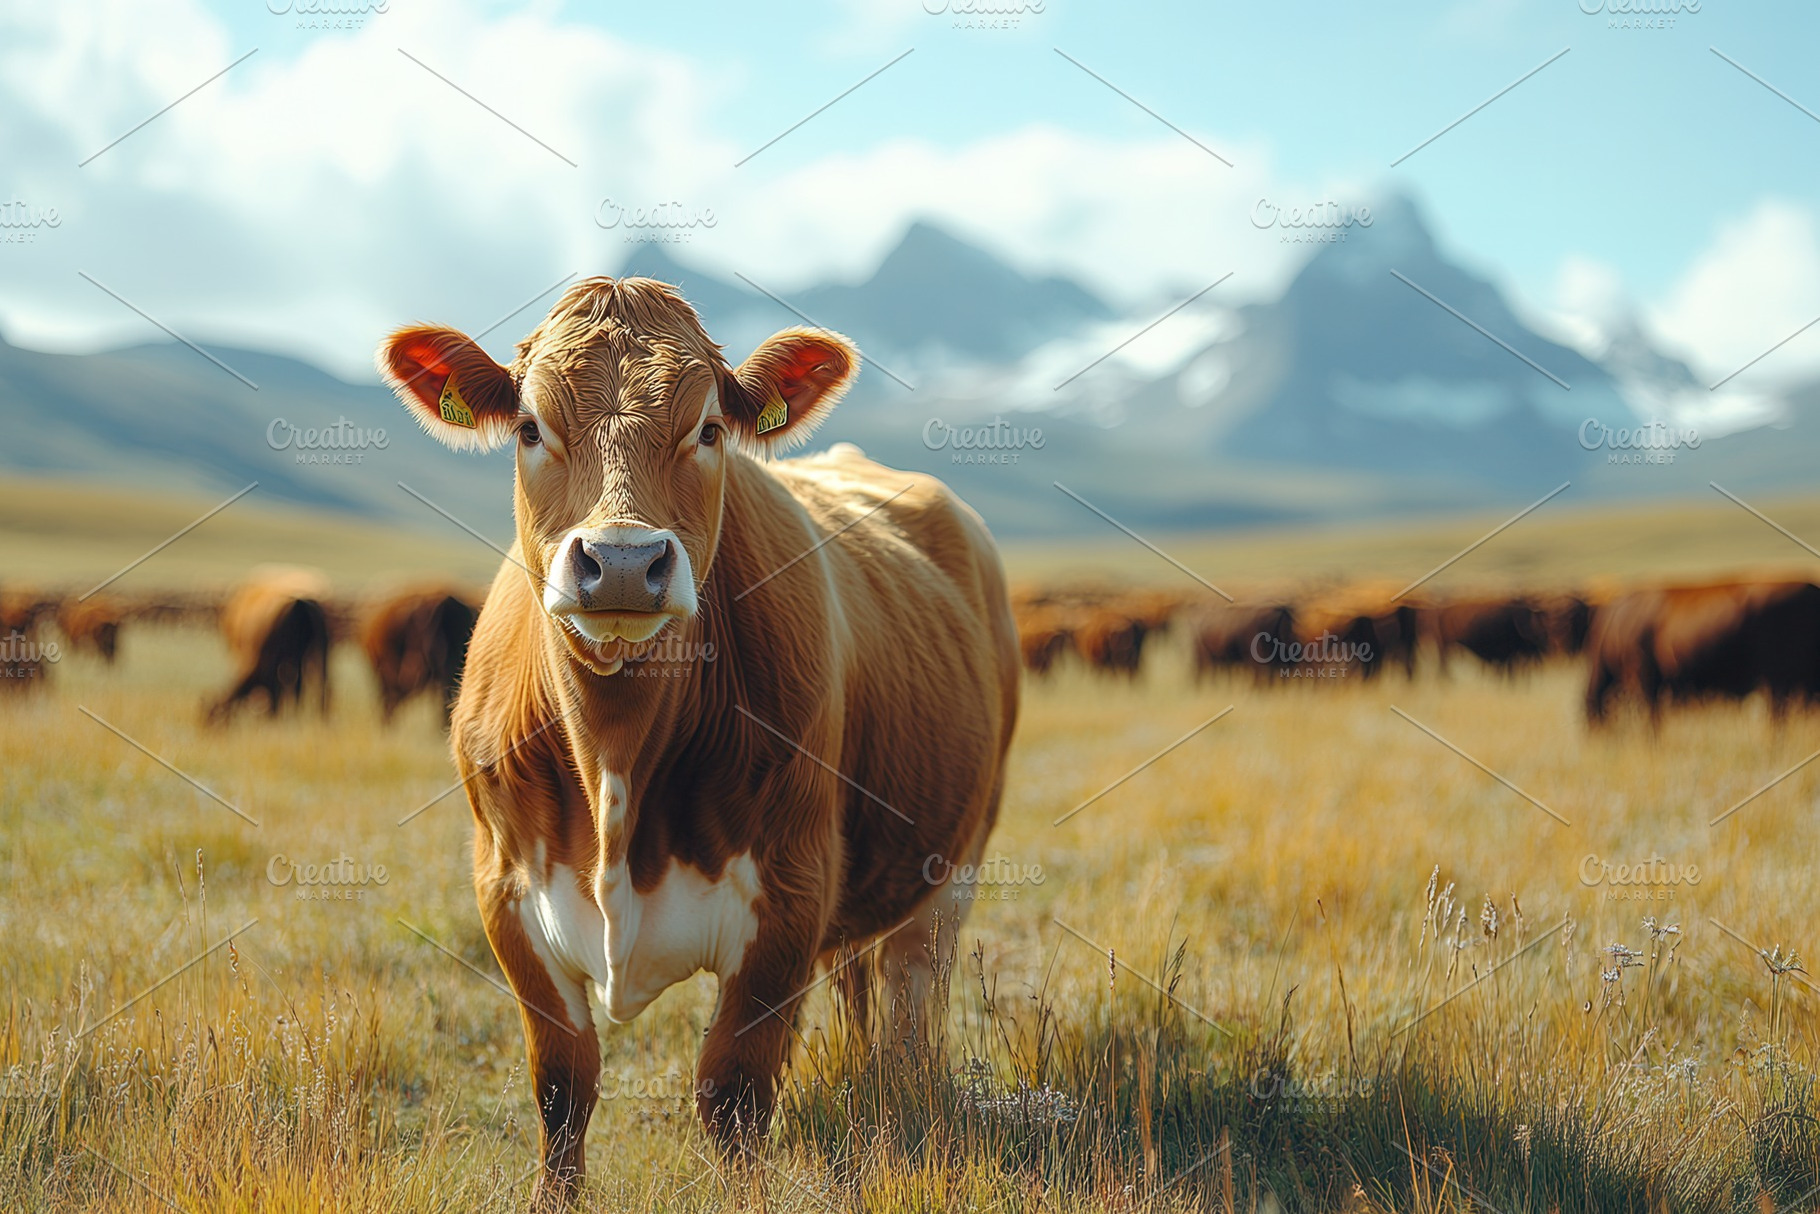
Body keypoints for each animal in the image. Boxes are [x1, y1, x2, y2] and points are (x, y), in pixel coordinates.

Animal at [377, 276, 1019, 1207]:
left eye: (709, 429)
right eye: (531, 427)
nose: (619, 561)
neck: (614, 759)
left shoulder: (790, 893)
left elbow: (734, 1093)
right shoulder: (505, 889)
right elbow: (561, 1084)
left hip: (952, 863)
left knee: (911, 996)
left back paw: (903, 1099)